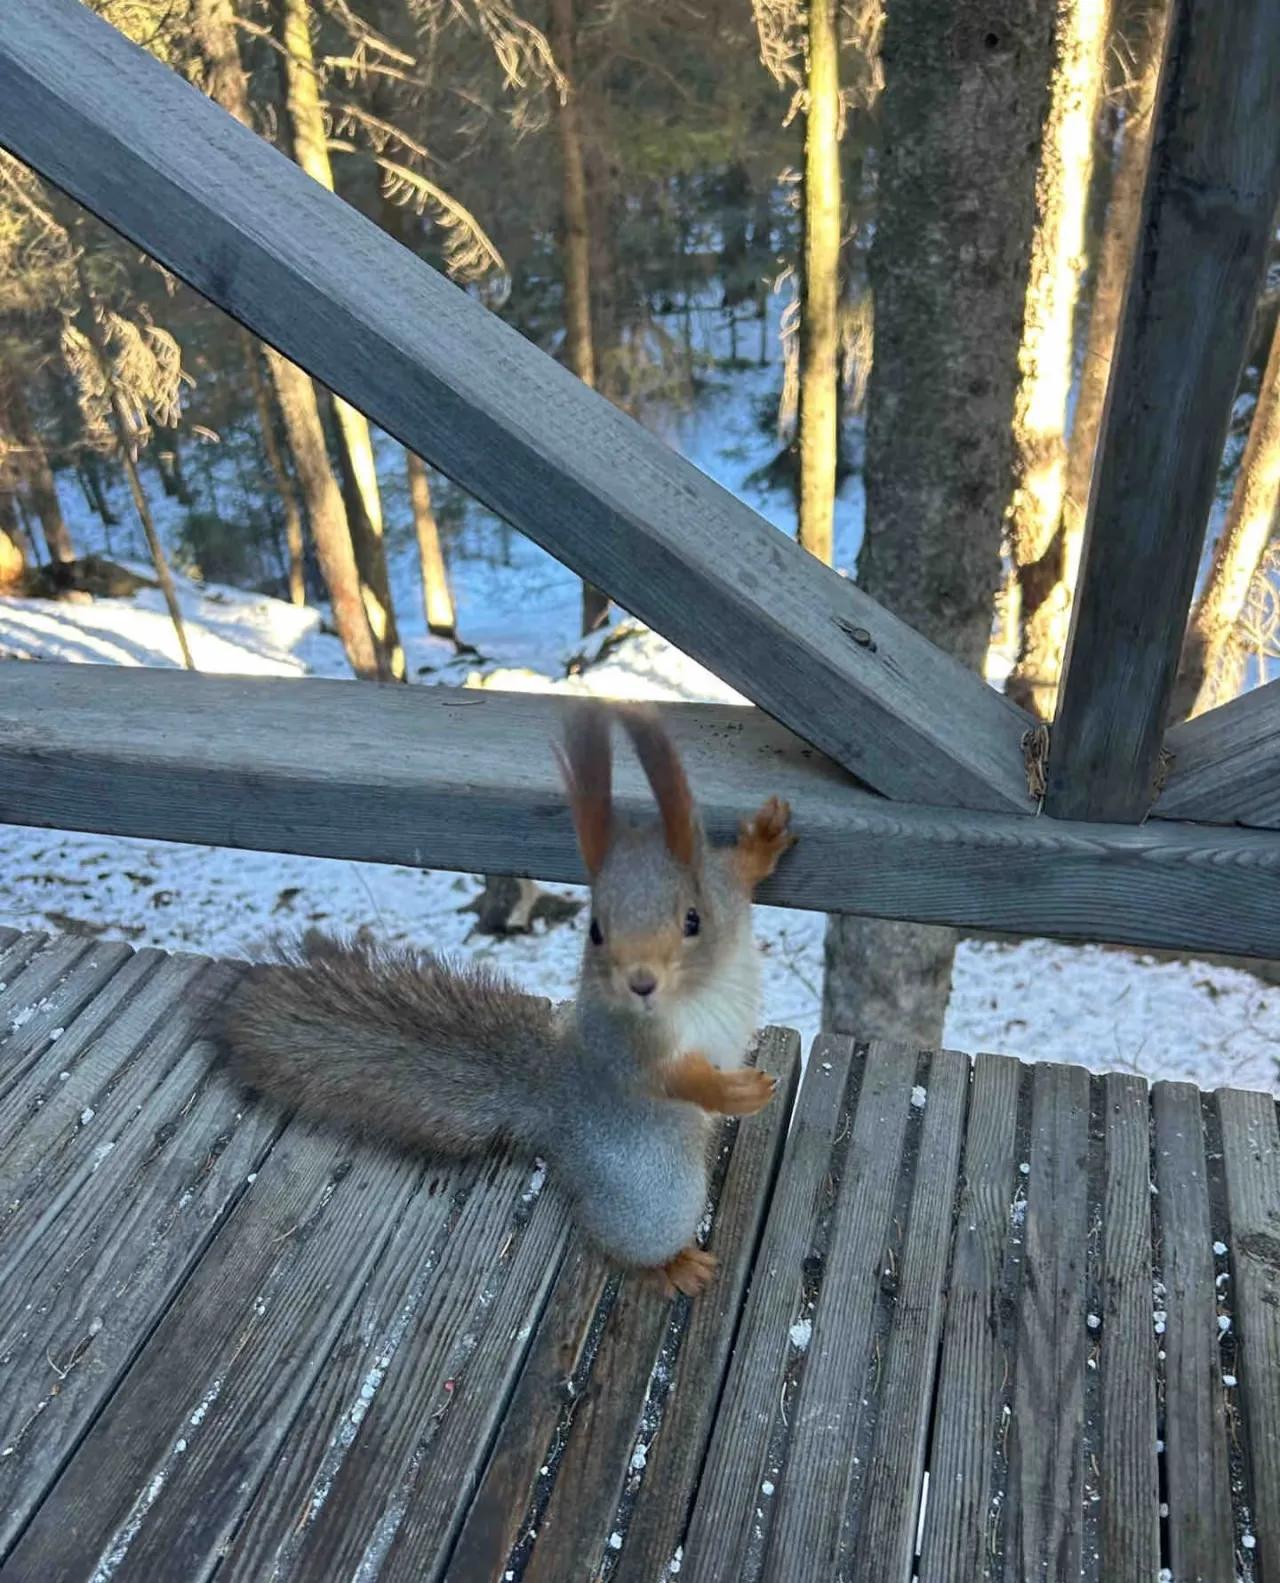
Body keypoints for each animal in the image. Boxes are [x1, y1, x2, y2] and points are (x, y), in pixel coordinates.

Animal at [218, 699, 794, 1291]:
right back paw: (673, 1265)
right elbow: (659, 1075)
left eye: (692, 919)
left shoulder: (723, 891)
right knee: (628, 1240)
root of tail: (556, 1100)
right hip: (652, 1192)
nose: (639, 984)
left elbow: (741, 870)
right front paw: (730, 1089)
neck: (696, 986)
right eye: (595, 931)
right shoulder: (623, 1039)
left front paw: (765, 835)